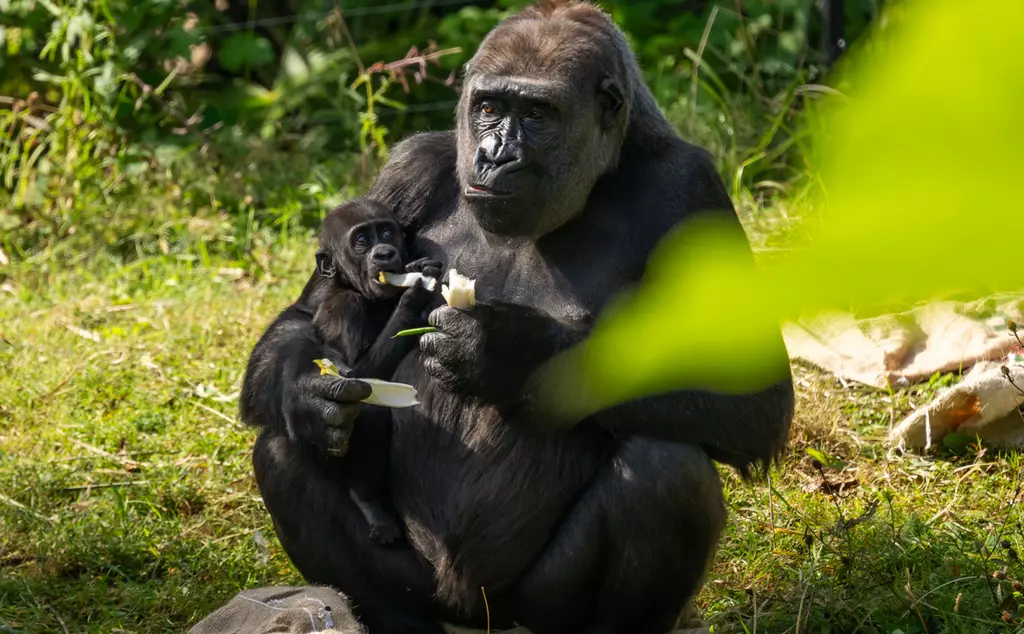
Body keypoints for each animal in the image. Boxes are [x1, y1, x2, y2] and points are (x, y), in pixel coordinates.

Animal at [311, 199, 440, 544]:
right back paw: (367, 501)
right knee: (370, 408)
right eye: (361, 241)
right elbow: (355, 376)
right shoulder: (343, 311)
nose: (383, 252)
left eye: (385, 232)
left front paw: (420, 270)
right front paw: (413, 296)